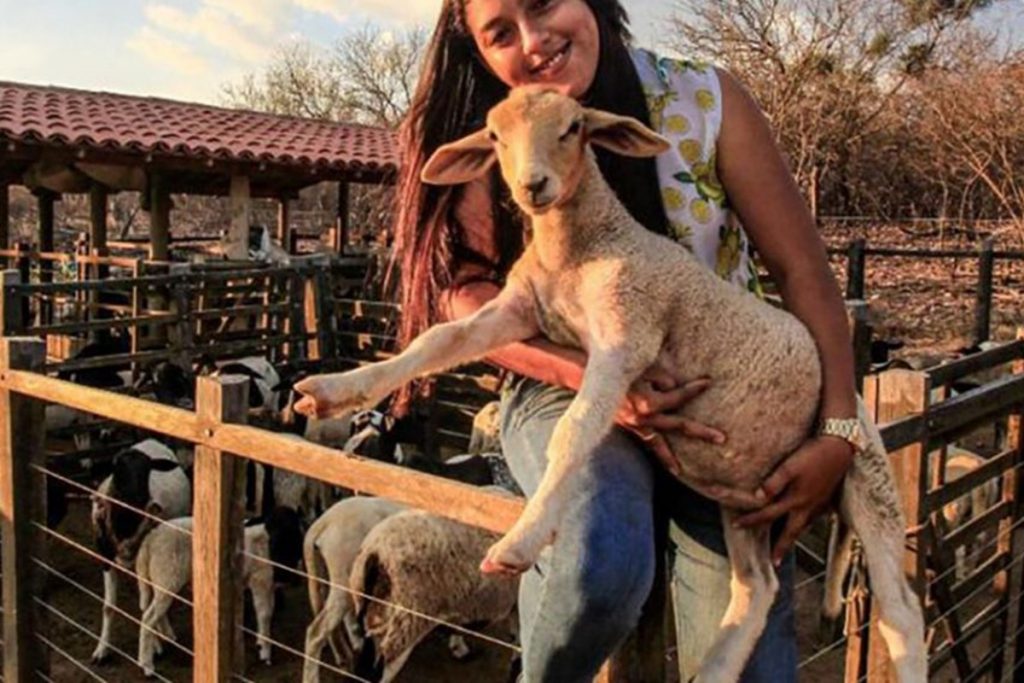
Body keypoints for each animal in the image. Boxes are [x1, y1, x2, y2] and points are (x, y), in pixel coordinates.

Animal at [90, 439, 191, 664]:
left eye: (146, 471)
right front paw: (102, 649)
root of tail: (151, 441)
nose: (138, 497)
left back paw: (165, 632)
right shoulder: (105, 557)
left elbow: (145, 605)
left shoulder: (142, 561)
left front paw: (154, 647)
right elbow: (108, 607)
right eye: (117, 469)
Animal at [134, 508, 303, 677]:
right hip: (168, 576)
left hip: (162, 581)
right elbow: (265, 615)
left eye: (292, 527)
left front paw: (262, 645)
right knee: (149, 617)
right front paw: (265, 652)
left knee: (154, 611)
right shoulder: (261, 581)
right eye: (272, 526)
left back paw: (164, 640)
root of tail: (150, 540)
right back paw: (147, 665)